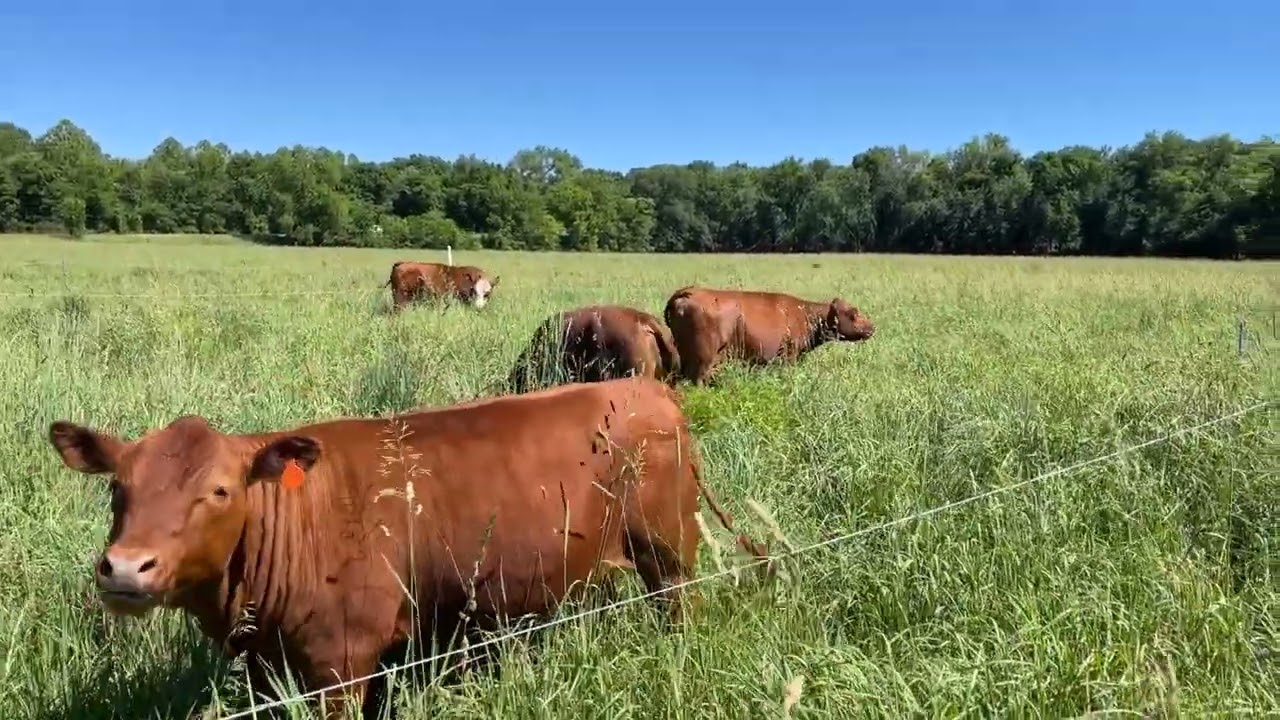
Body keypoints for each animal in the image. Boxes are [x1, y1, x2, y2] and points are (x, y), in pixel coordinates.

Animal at [46, 377, 767, 718]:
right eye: (117, 487)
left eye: (219, 491)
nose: (124, 567)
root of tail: (648, 388)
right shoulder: (264, 666)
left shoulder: (342, 663)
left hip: (669, 555)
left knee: (677, 611)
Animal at [663, 286, 875, 385]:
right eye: (853, 314)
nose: (872, 327)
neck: (804, 314)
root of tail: (687, 292)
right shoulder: (788, 357)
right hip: (704, 359)